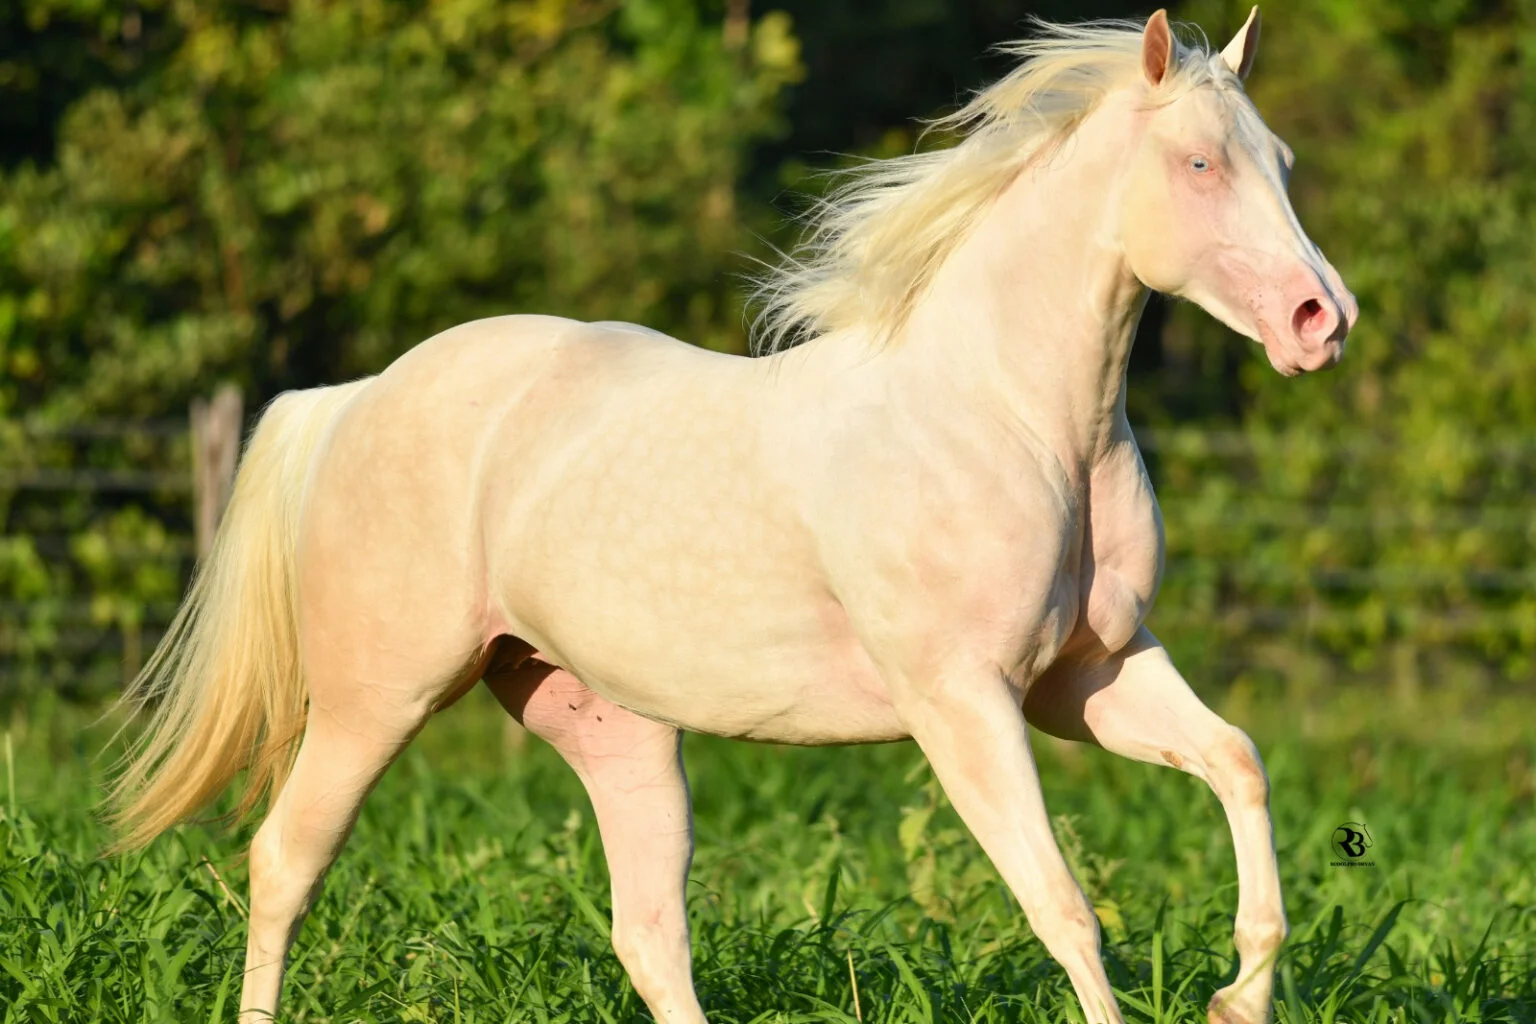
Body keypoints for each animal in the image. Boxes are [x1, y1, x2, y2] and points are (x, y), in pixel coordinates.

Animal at [111, 10, 1357, 1024]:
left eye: (1285, 163)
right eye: (1199, 162)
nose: (1321, 320)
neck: (1011, 416)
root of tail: (354, 398)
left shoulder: (1085, 678)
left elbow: (1238, 762)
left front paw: (1239, 993)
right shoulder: (963, 703)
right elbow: (1064, 906)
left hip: (610, 729)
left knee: (649, 935)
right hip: (379, 696)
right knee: (285, 861)